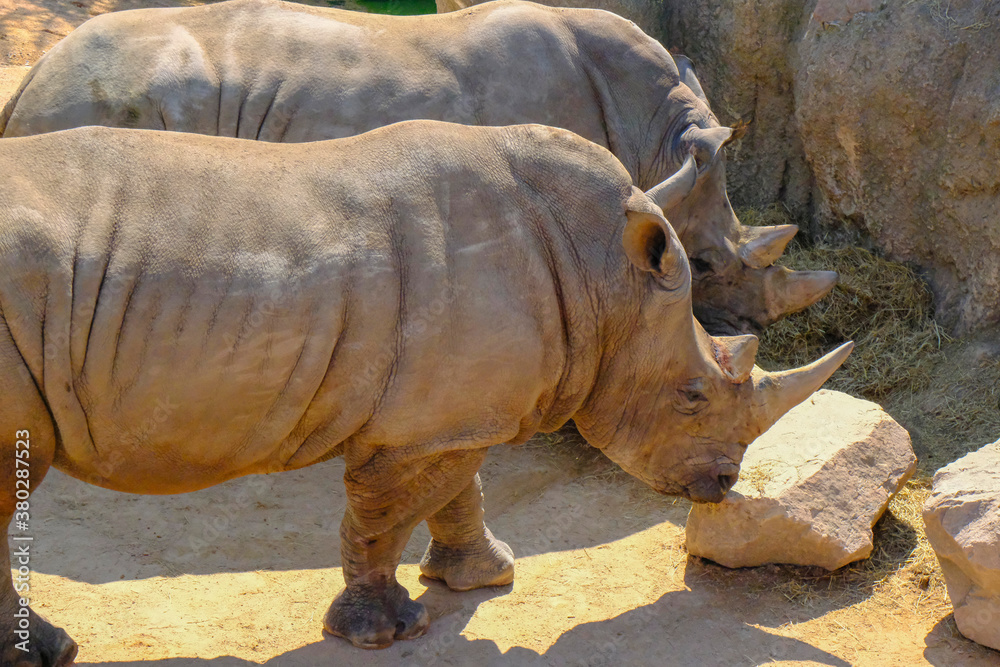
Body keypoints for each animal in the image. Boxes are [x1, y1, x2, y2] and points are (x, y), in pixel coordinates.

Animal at [0, 120, 850, 663]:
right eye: (692, 396)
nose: (723, 483)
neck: (605, 276)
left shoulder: (452, 414)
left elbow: (458, 490)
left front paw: (485, 575)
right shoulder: (423, 427)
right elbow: (384, 517)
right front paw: (382, 635)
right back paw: (49, 652)